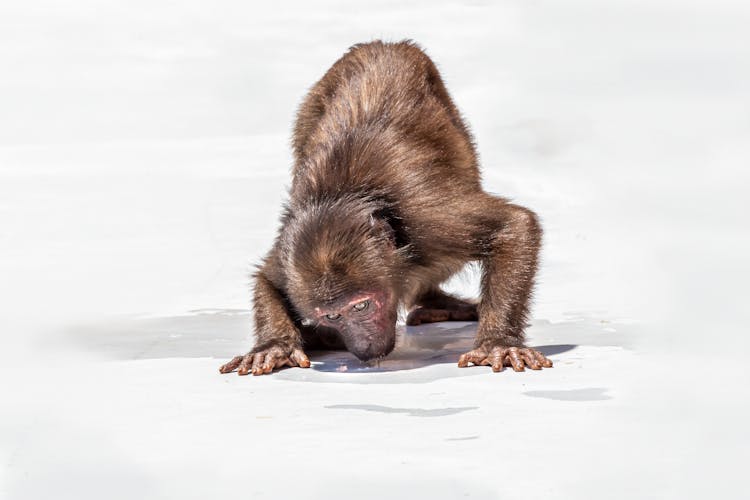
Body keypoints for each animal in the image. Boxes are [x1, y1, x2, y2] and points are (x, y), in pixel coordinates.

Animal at [217, 40, 552, 376]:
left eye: (361, 306)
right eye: (333, 316)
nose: (363, 347)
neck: (345, 197)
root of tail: (382, 44)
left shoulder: (428, 221)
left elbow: (515, 226)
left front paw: (499, 343)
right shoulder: (290, 257)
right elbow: (268, 278)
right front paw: (274, 346)